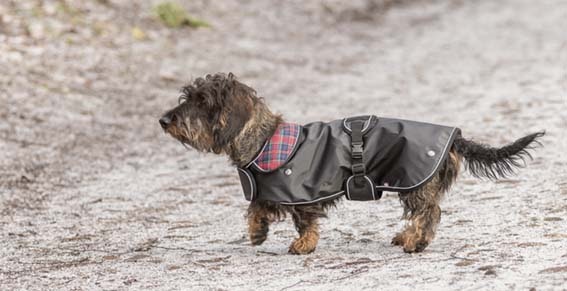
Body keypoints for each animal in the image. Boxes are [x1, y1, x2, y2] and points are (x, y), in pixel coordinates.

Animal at [158, 73, 544, 256]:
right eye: (186, 96)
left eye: (201, 101)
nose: (164, 120)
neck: (263, 140)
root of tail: (453, 137)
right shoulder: (268, 190)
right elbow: (256, 208)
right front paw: (257, 232)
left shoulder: (303, 195)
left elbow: (304, 222)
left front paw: (303, 245)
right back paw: (406, 235)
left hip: (415, 183)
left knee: (429, 214)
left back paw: (415, 241)